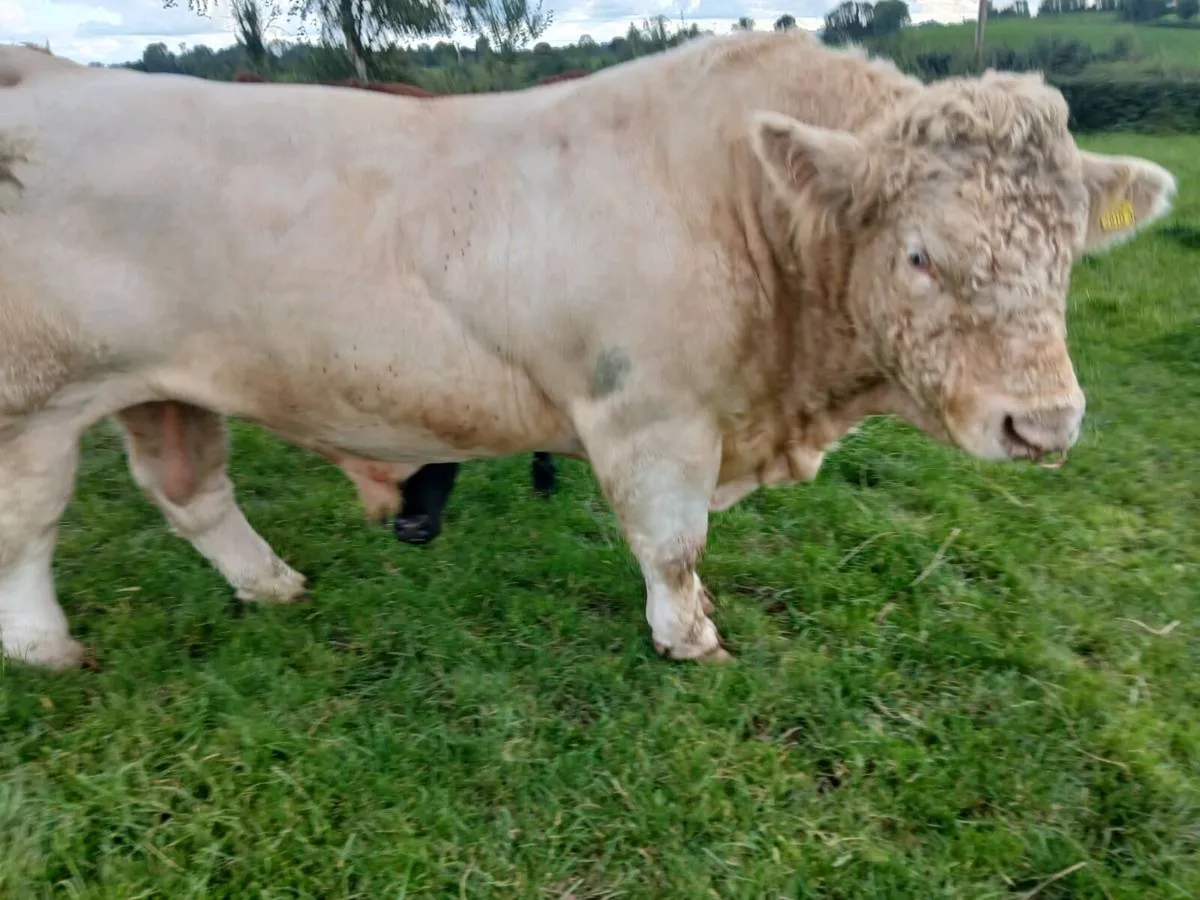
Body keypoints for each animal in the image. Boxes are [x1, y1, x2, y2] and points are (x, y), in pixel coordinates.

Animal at [0, 32, 1176, 670]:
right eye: (922, 255)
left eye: (1069, 252)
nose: (1045, 423)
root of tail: (45, 74)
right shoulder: (650, 414)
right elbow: (672, 541)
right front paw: (690, 638)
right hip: (32, 400)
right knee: (29, 527)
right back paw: (46, 647)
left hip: (155, 383)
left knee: (190, 489)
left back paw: (274, 585)